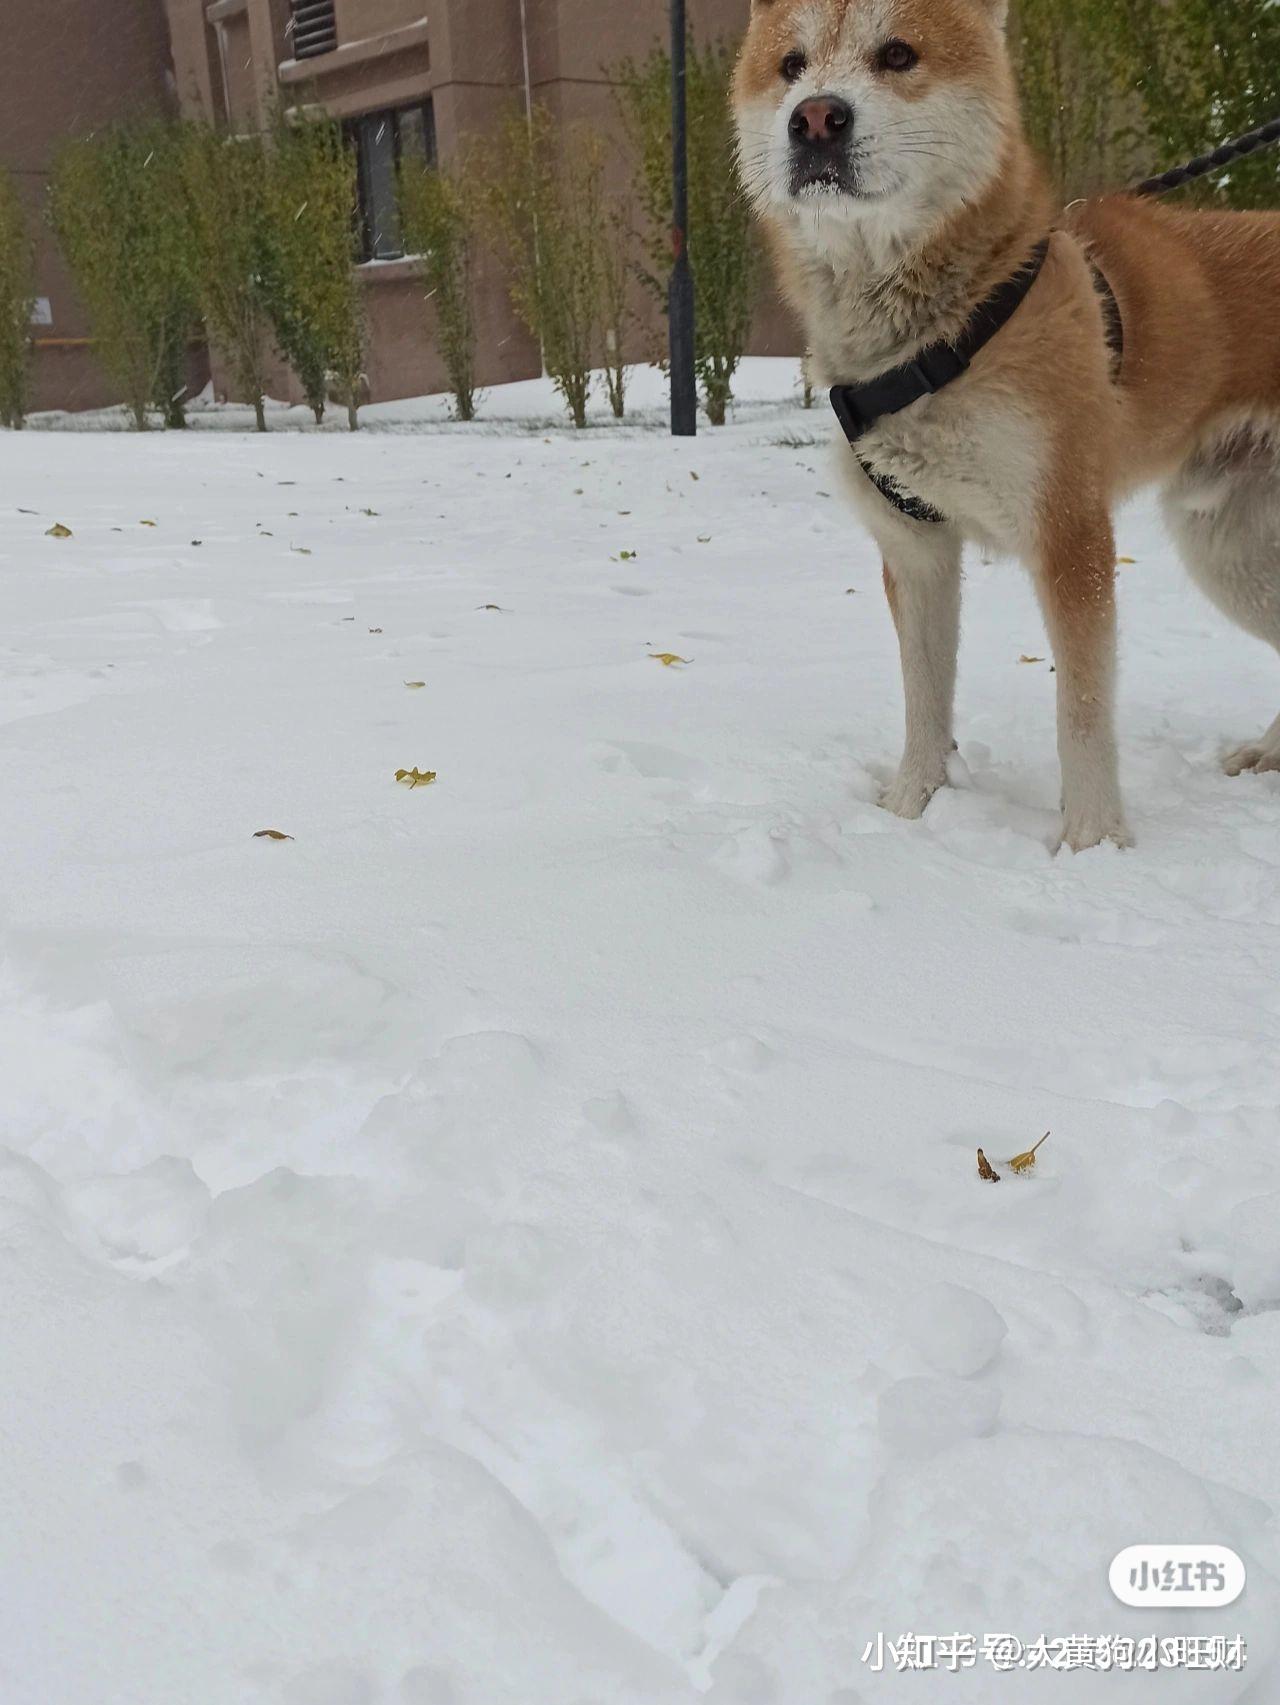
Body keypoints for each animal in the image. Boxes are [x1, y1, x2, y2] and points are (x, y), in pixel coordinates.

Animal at [736, 0, 1280, 849]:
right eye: (792, 66)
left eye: (898, 54)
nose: (815, 118)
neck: (934, 336)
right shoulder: (916, 546)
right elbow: (925, 697)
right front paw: (910, 809)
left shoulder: (1068, 534)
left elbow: (1081, 712)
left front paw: (1092, 844)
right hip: (1233, 553)